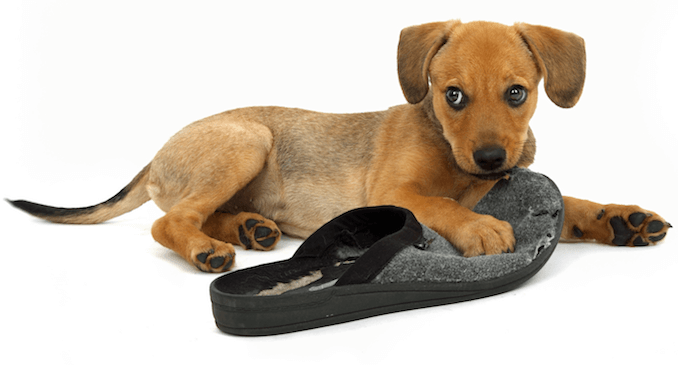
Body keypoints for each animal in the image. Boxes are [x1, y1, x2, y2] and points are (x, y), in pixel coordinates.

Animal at [9, 19, 668, 270]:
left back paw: (248, 229)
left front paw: (619, 218)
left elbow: (574, 201)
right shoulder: (395, 191)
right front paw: (480, 227)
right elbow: (441, 204)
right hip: (247, 138)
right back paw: (207, 250)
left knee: (197, 213)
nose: (491, 160)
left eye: (516, 94)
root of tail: (155, 153)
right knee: (168, 222)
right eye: (452, 95)